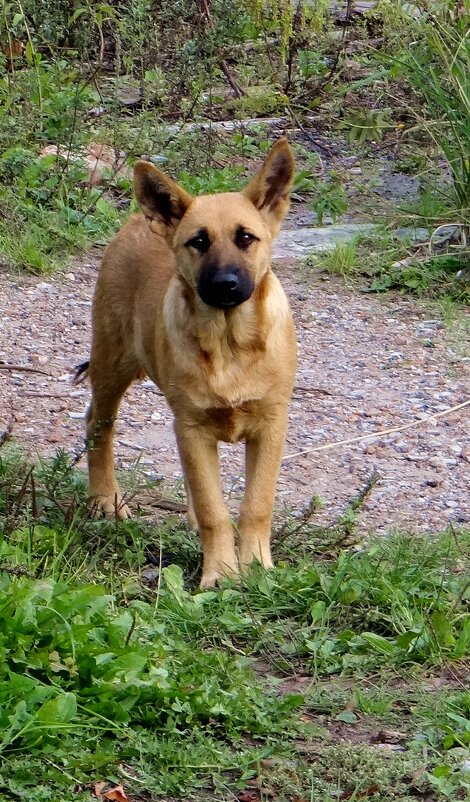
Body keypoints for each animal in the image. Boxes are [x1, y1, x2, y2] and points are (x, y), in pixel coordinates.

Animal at [83, 138, 298, 588]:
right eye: (198, 242)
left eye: (246, 238)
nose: (225, 285)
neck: (229, 343)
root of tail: (137, 219)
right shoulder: (193, 427)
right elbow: (216, 509)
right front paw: (221, 574)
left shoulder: (270, 425)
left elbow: (256, 504)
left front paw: (257, 568)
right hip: (112, 361)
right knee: (98, 424)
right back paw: (105, 499)